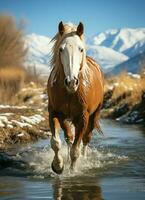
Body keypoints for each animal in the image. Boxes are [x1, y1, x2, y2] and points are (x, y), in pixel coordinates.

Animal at [47, 21, 103, 174]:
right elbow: (56, 143)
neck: (70, 92)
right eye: (61, 49)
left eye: (81, 49)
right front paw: (58, 166)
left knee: (86, 139)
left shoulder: (83, 117)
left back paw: (84, 159)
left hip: (94, 114)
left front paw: (72, 171)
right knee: (69, 139)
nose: (72, 82)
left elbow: (75, 151)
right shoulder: (54, 113)